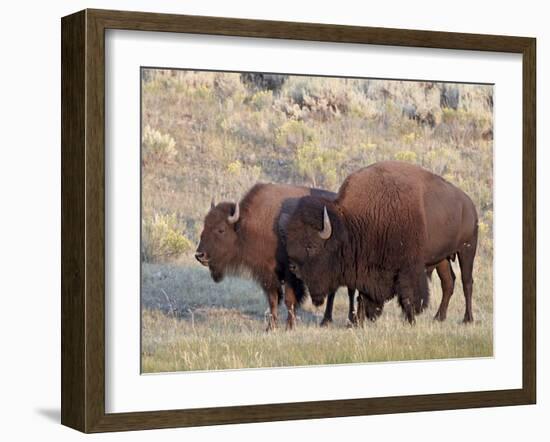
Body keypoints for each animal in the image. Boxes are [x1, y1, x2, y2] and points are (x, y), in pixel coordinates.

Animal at [197, 181, 358, 330]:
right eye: (205, 225)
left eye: (221, 229)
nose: (200, 255)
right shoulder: (267, 273)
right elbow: (273, 299)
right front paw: (270, 327)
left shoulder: (290, 272)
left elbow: (289, 299)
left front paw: (289, 326)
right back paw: (326, 322)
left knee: (349, 291)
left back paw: (346, 321)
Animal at [284, 161, 478, 324]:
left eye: (311, 245)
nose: (293, 267)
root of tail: (469, 203)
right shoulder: (365, 269)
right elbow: (362, 296)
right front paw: (359, 322)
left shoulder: (408, 268)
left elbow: (408, 296)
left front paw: (410, 321)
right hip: (442, 258)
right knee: (449, 283)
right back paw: (439, 317)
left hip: (467, 249)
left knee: (467, 282)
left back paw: (467, 319)